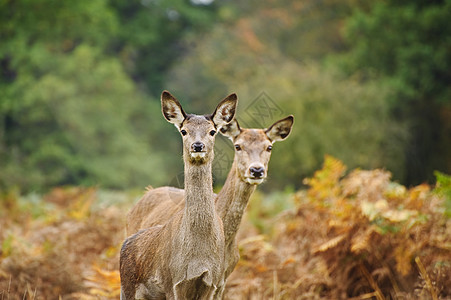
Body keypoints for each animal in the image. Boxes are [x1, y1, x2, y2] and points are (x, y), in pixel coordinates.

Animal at [120, 91, 240, 300]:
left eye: (212, 131)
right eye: (184, 131)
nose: (198, 146)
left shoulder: (213, 282)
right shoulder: (173, 282)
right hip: (127, 287)